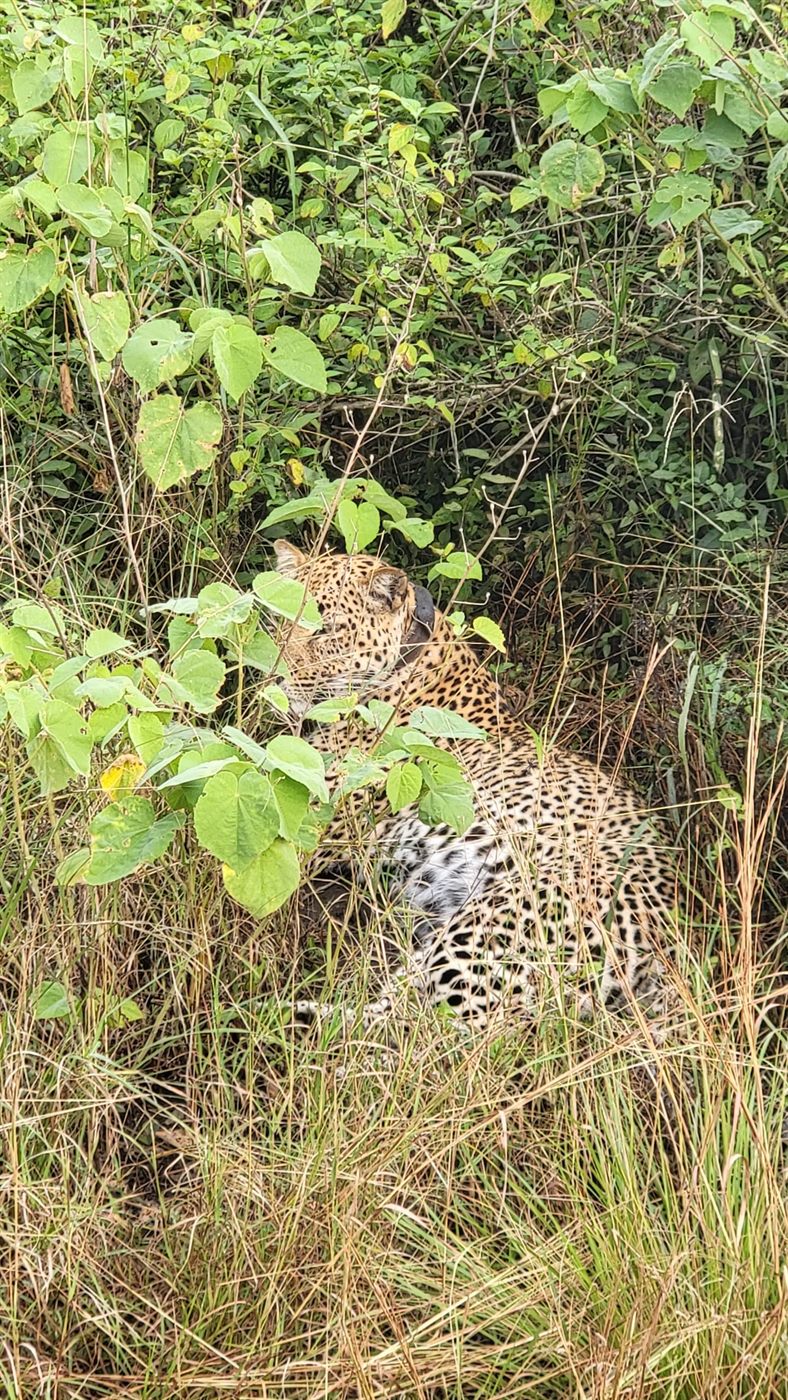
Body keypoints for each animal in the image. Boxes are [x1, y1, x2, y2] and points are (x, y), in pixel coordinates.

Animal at [273, 539, 679, 1035]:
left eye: (327, 630)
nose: (274, 675)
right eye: (279, 616)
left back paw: (273, 1016)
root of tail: (667, 955)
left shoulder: (303, 819)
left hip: (492, 928)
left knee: (410, 1030)